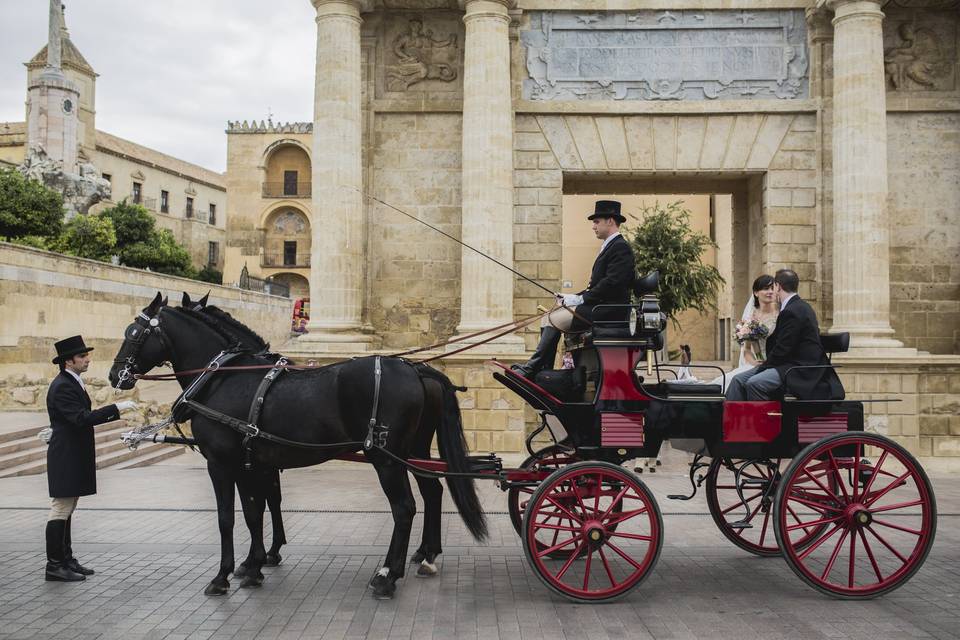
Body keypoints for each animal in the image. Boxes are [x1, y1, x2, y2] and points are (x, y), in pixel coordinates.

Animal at [110, 296, 488, 600]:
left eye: (132, 333)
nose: (116, 376)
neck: (224, 376)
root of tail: (416, 368)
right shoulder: (254, 463)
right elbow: (256, 510)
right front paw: (254, 565)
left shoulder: (221, 463)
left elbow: (228, 517)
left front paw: (224, 576)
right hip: (413, 449)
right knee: (432, 491)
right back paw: (426, 556)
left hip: (385, 457)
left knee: (404, 508)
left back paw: (387, 576)